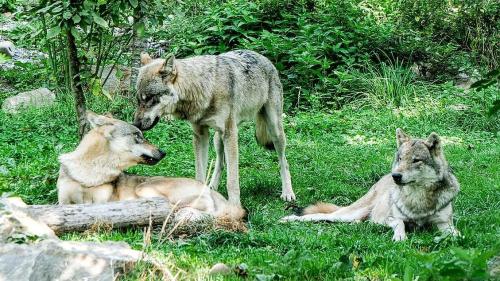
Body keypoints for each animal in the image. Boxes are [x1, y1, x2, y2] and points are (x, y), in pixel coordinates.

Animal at [56, 110, 246, 222]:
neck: (88, 175)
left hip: (145, 189)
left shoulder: (101, 201)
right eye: (137, 136)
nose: (163, 152)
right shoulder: (62, 202)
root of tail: (211, 191)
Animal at [134, 49, 296, 205]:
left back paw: (287, 193)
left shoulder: (230, 134)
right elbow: (200, 174)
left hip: (274, 131)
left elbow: (232, 180)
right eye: (138, 100)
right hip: (218, 138)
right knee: (221, 162)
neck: (206, 88)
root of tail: (263, 57)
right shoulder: (200, 135)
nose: (135, 124)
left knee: (284, 162)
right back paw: (213, 186)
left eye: (149, 98)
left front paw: (234, 205)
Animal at [280, 129, 458, 241]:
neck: (418, 200)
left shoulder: (445, 224)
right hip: (346, 214)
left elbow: (455, 233)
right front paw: (400, 236)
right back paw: (288, 219)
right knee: (318, 216)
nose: (396, 176)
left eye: (416, 160)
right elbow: (400, 223)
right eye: (401, 158)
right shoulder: (389, 218)